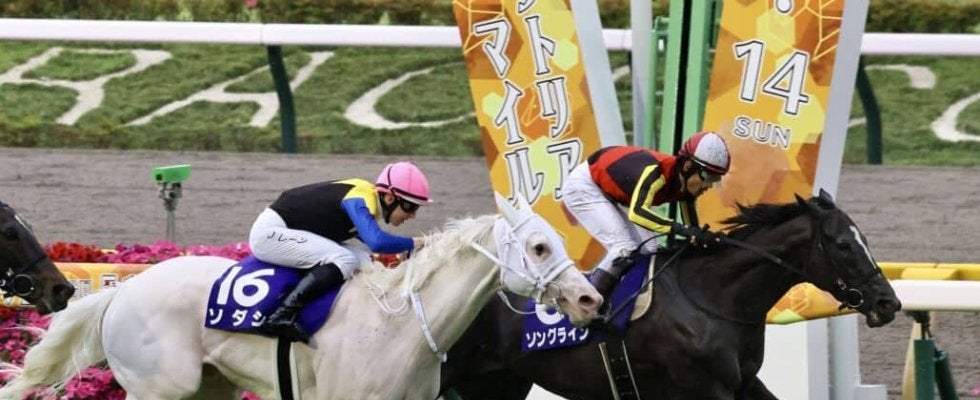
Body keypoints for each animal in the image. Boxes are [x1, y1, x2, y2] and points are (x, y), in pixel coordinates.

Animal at [0, 194, 602, 400]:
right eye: (541, 246)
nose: (589, 299)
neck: (401, 327)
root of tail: (120, 293)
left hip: (208, 388)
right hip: (159, 388)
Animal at [440, 191, 902, 400]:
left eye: (864, 240)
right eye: (843, 245)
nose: (888, 302)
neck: (714, 299)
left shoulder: (743, 382)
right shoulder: (705, 388)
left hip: (499, 383)